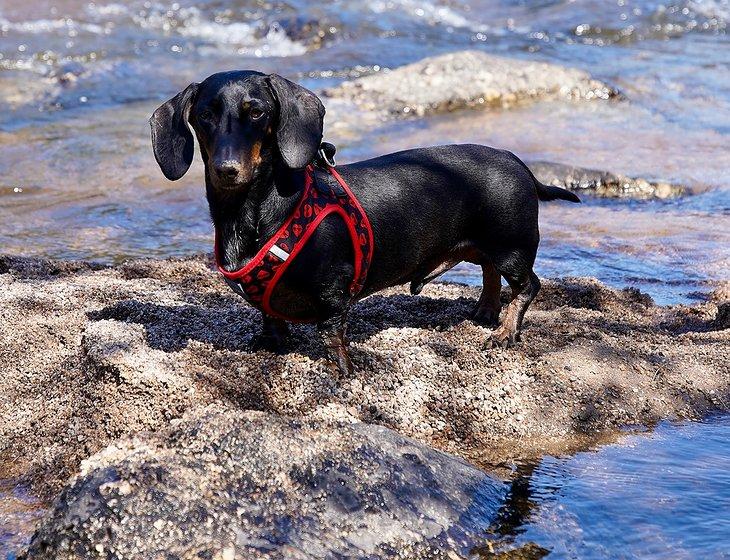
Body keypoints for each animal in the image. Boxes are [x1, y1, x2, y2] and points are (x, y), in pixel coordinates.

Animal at [149, 71, 580, 376]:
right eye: (204, 115)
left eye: (256, 111)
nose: (226, 169)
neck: (254, 210)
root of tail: (517, 161)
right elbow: (270, 317)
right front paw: (270, 344)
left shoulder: (335, 288)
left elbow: (332, 333)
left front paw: (341, 371)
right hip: (485, 246)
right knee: (489, 271)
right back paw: (486, 311)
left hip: (512, 247)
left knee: (528, 285)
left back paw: (505, 331)